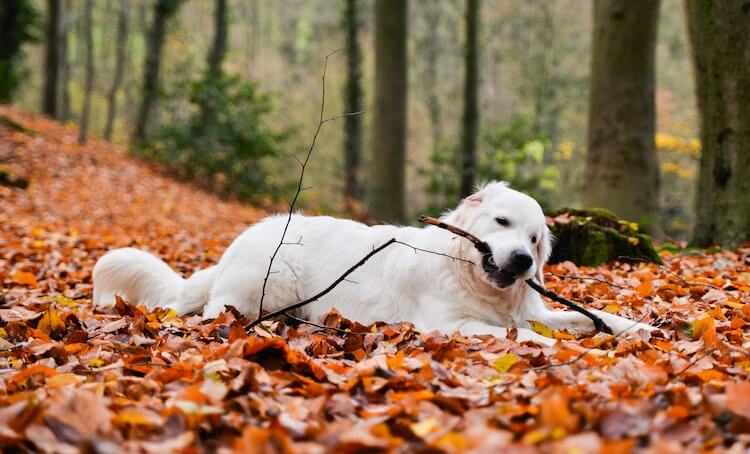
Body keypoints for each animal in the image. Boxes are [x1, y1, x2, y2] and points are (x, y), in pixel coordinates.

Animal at [94, 181, 656, 344]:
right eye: (501, 222)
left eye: (535, 239)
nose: (520, 261)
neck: (465, 272)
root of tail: (241, 240)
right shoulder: (449, 323)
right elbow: (518, 335)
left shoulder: (531, 308)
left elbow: (587, 316)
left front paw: (637, 327)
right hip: (263, 290)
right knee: (221, 314)